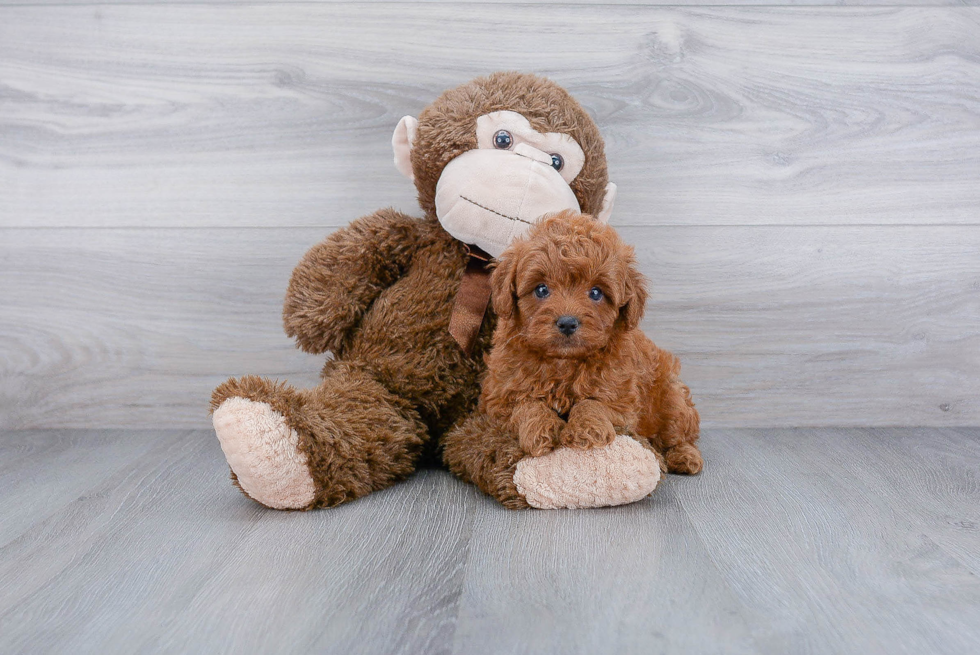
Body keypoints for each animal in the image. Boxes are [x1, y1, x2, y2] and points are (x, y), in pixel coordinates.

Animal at [478, 213, 700, 474]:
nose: (567, 323)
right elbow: (526, 405)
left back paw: (685, 456)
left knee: (679, 434)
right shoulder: (499, 398)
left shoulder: (622, 401)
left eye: (595, 293)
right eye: (541, 289)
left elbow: (593, 403)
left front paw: (586, 429)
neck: (562, 362)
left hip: (673, 399)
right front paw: (540, 430)